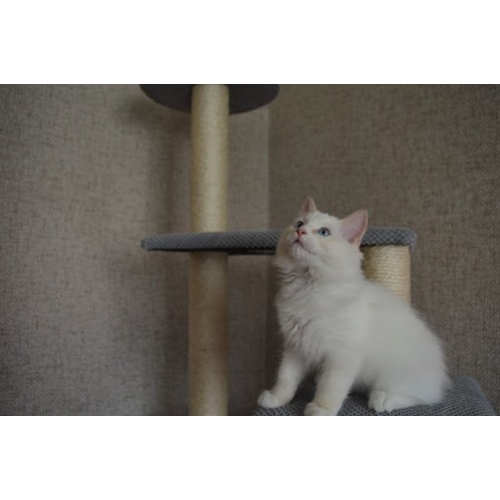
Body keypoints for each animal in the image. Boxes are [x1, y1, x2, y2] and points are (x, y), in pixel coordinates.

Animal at [258, 197, 449, 416]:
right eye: (299, 223)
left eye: (324, 232)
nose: (300, 231)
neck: (307, 288)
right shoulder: (295, 346)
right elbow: (286, 377)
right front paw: (276, 398)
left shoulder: (342, 355)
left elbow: (330, 387)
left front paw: (321, 409)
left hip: (395, 375)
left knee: (423, 397)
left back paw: (383, 399)